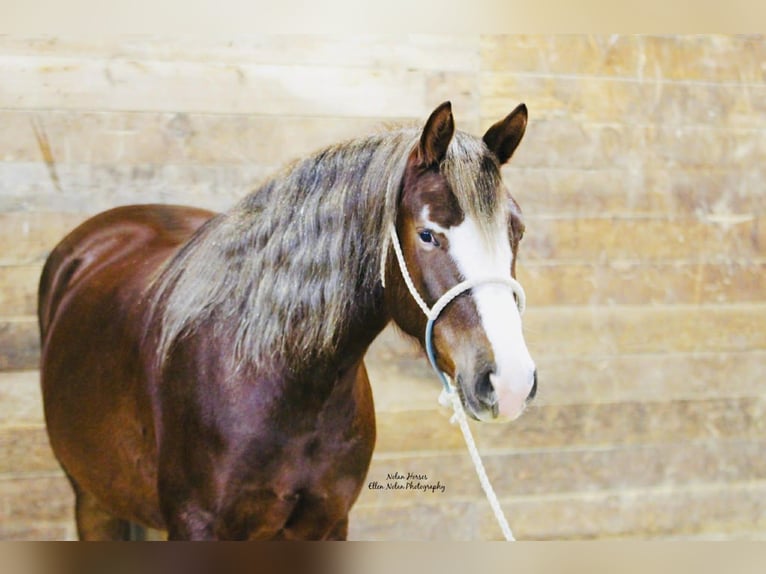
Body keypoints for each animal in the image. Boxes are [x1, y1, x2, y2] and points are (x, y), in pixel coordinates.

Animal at [38, 101, 537, 540]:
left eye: (517, 230)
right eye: (428, 235)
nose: (509, 380)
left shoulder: (328, 523)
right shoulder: (196, 526)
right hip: (92, 499)